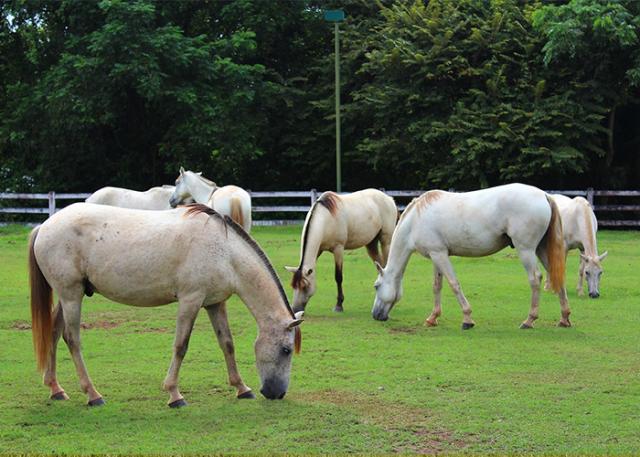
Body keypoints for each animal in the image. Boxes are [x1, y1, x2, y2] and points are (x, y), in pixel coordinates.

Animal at [370, 183, 568, 330]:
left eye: (376, 286)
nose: (375, 315)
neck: (416, 220)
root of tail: (544, 195)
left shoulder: (440, 255)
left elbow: (454, 284)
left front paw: (467, 319)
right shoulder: (436, 254)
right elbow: (437, 286)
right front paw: (433, 317)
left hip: (526, 250)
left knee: (535, 279)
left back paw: (529, 320)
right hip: (541, 249)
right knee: (556, 276)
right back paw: (564, 318)